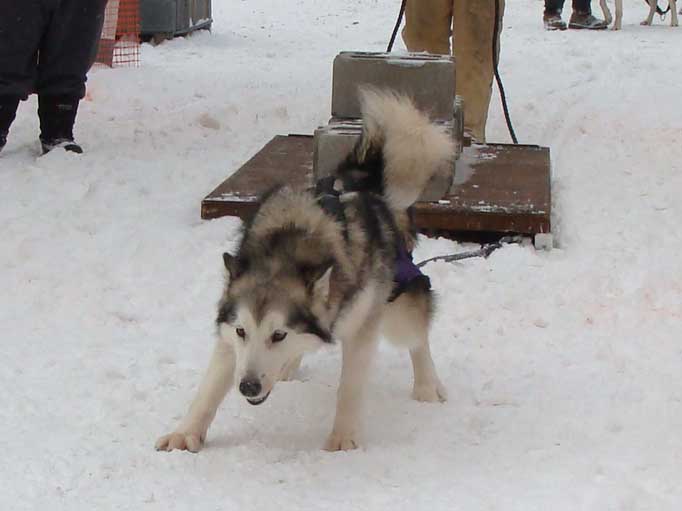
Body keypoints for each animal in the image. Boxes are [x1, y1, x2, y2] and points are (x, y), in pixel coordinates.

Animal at [155, 90, 452, 454]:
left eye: (278, 334)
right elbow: (209, 387)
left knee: (417, 333)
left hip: (397, 305)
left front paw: (343, 437)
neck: (288, 247)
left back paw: (427, 383)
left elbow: (350, 387)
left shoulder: (362, 327)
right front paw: (186, 432)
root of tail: (358, 181)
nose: (248, 387)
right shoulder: (229, 336)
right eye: (242, 331)